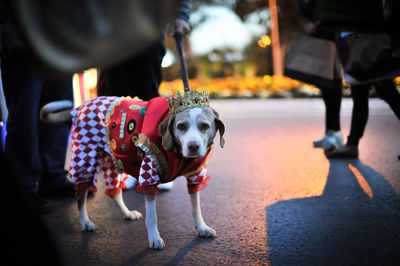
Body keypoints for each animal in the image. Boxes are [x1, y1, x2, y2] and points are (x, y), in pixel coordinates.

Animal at [42, 89, 227, 249]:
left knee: (114, 192)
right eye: (181, 126)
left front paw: (201, 227)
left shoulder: (195, 176)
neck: (177, 152)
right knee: (81, 196)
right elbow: (152, 216)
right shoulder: (148, 177)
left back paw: (127, 213)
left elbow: (196, 208)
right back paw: (85, 222)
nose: (193, 146)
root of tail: (79, 107)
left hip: (114, 162)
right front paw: (154, 238)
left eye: (204, 126)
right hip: (86, 159)